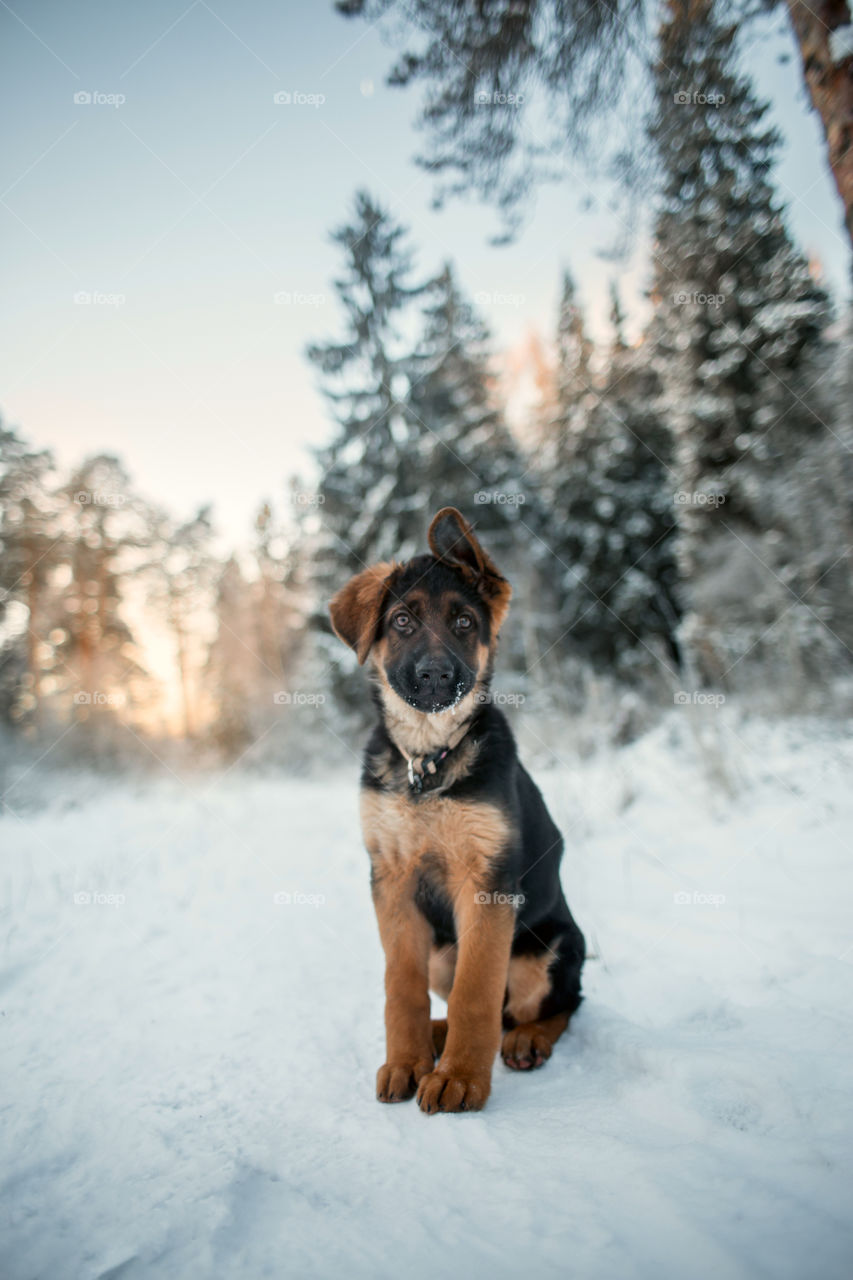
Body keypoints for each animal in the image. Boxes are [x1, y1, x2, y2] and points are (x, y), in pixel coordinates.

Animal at [327, 506, 581, 1111]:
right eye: (401, 621)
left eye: (464, 623)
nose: (436, 677)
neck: (427, 761)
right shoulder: (391, 879)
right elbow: (401, 986)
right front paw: (407, 1061)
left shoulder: (486, 885)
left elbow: (476, 993)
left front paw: (461, 1078)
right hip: (441, 949)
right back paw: (435, 1038)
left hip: (552, 950)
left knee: (553, 1006)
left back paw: (526, 1040)